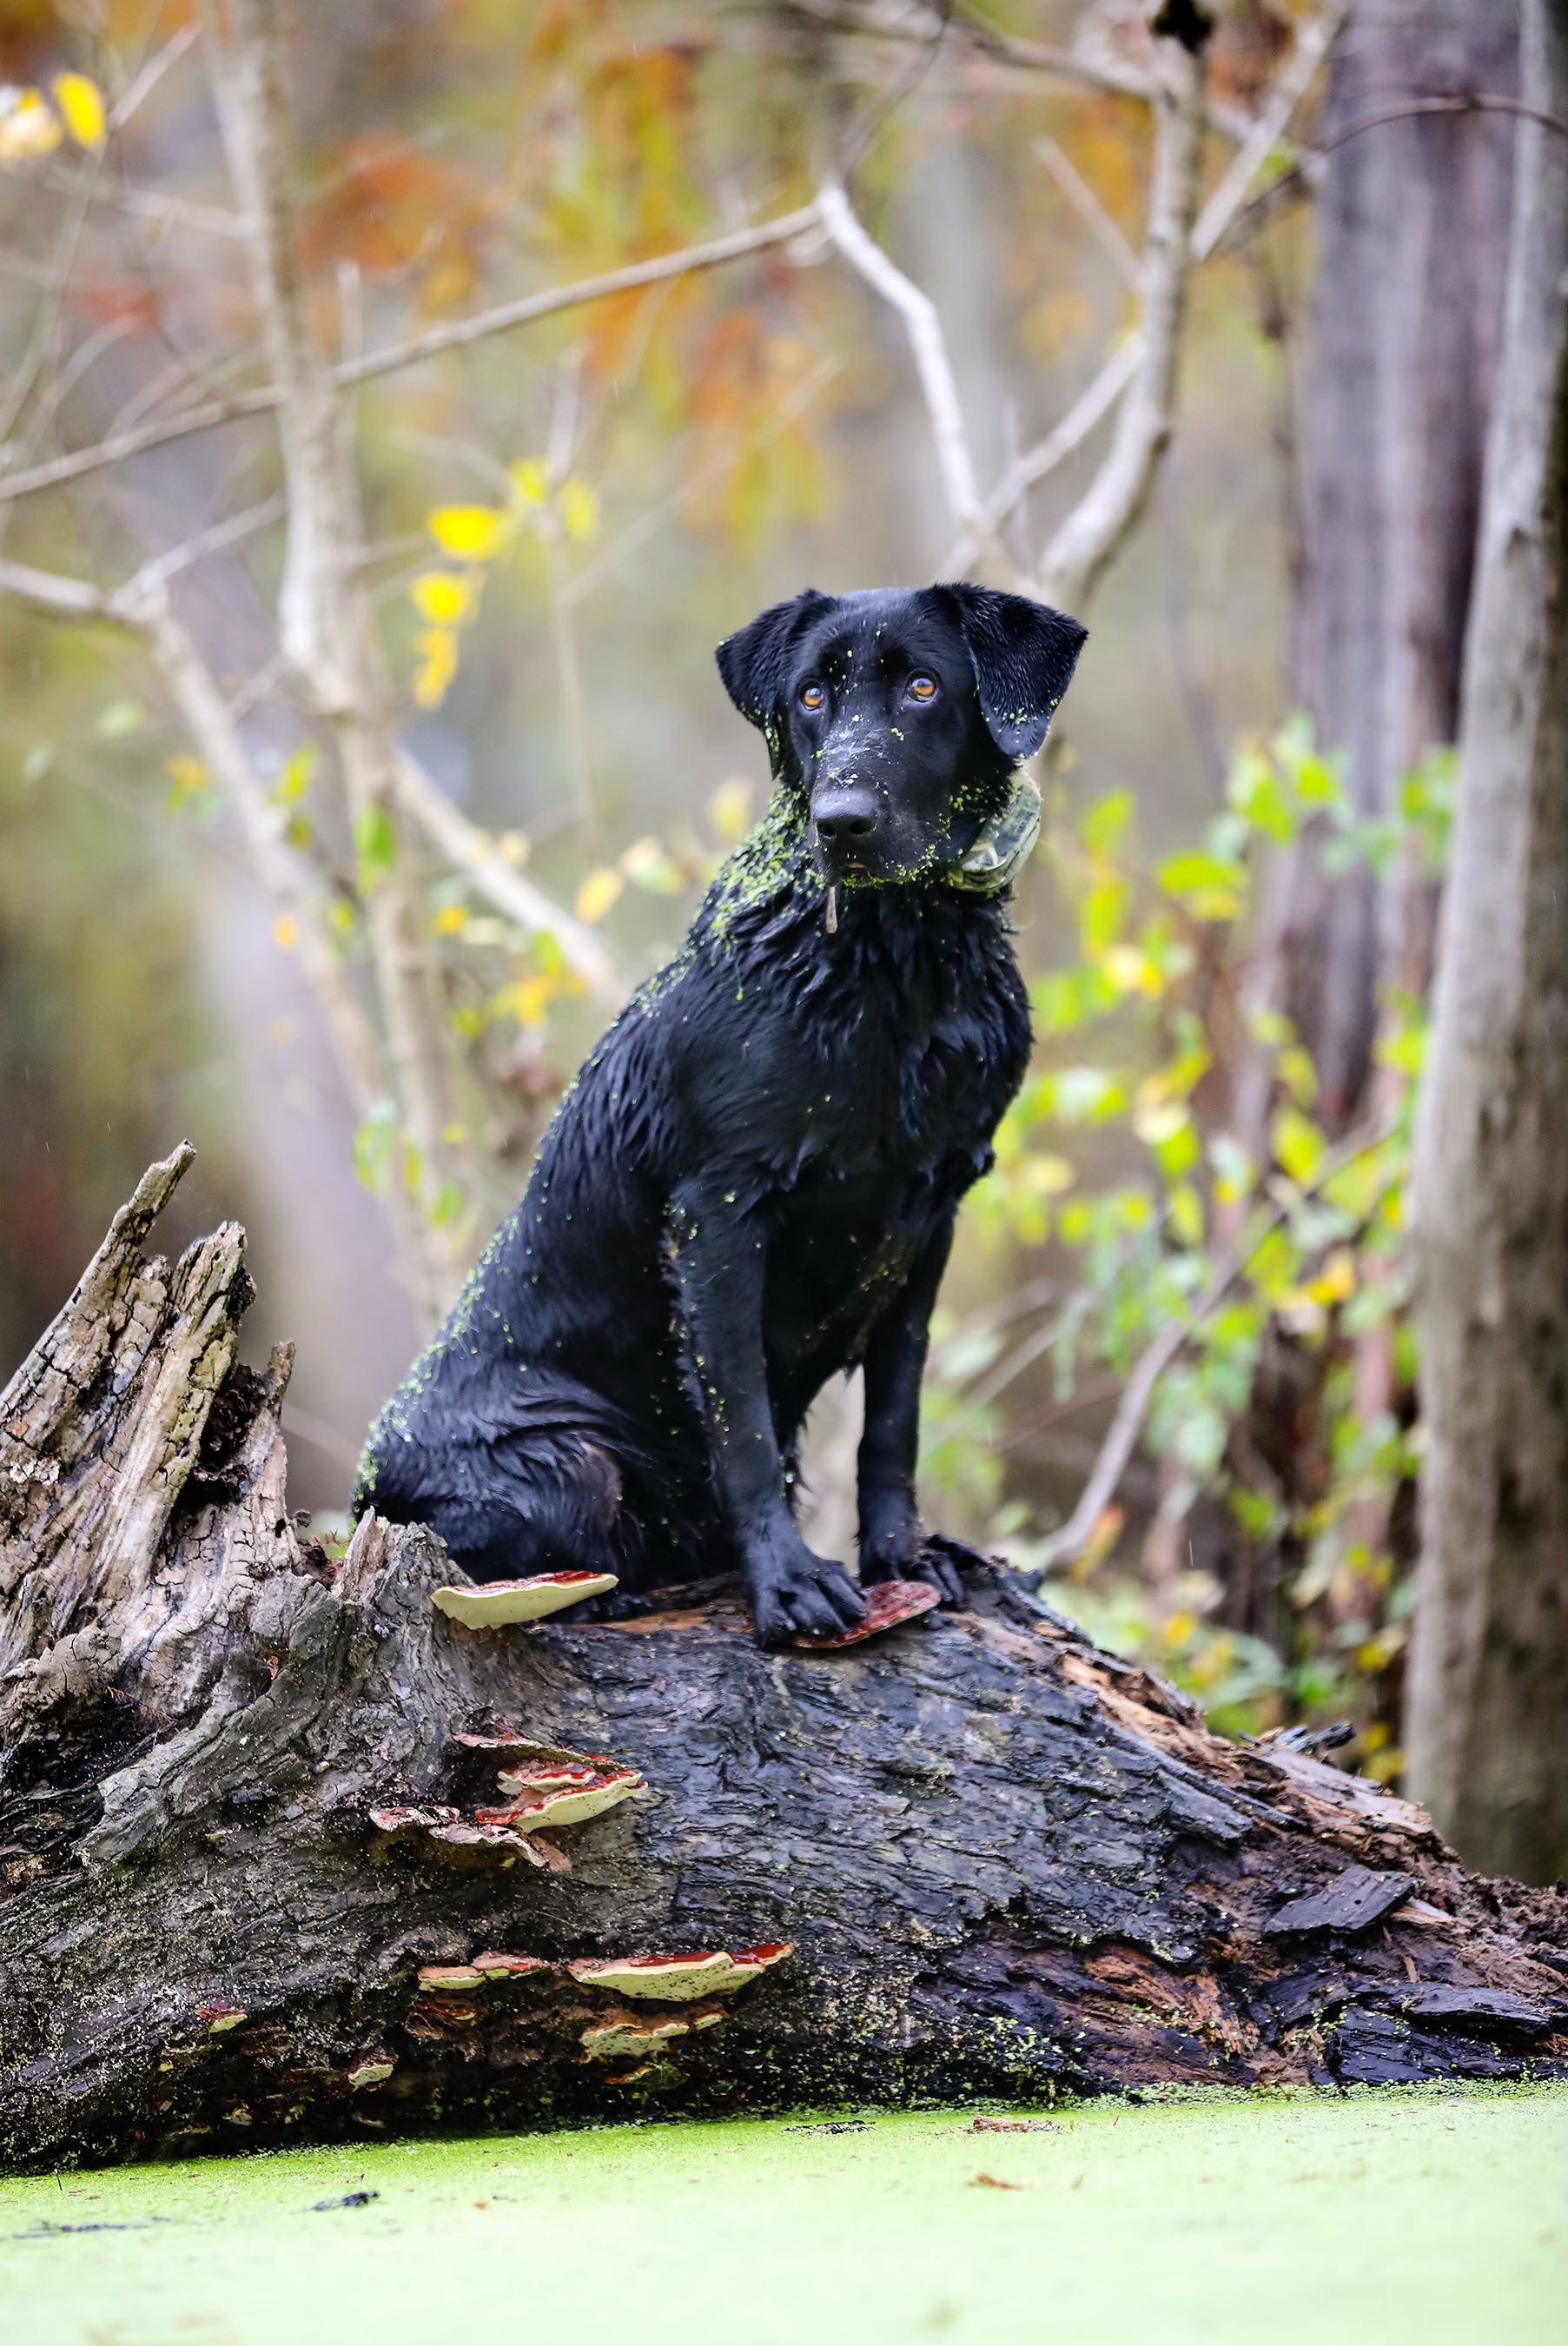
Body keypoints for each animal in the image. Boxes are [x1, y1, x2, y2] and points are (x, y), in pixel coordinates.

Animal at [356, 579, 1082, 1642]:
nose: (841, 821)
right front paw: (788, 1580)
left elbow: (892, 1422)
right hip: (569, 1460)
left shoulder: (933, 1212)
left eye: (921, 686)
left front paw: (903, 1557)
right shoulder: (718, 1212)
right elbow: (741, 1423)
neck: (893, 971)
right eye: (811, 696)